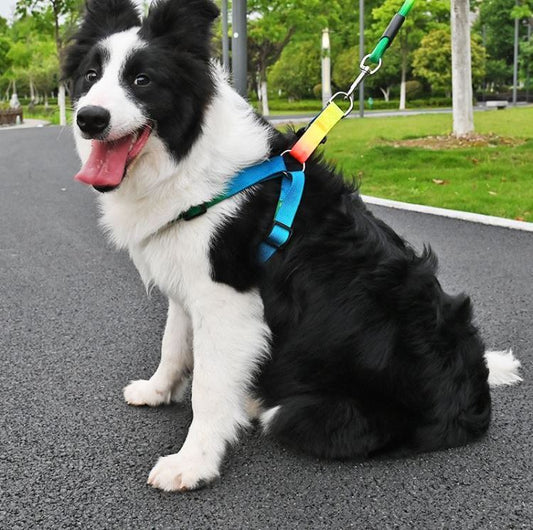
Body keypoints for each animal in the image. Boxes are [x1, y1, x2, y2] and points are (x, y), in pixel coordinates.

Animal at [64, 0, 520, 490]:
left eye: (142, 80)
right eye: (91, 75)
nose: (90, 119)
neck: (189, 160)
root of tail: (474, 399)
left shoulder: (226, 299)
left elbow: (208, 386)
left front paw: (193, 463)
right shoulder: (189, 283)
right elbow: (174, 345)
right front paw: (157, 390)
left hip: (305, 413)